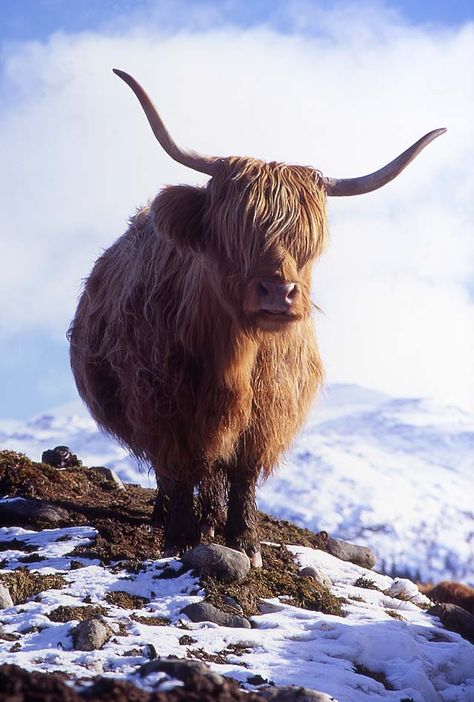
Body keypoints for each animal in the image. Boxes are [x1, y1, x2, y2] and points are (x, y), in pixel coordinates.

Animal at [68, 70, 446, 568]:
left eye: (307, 242)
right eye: (234, 233)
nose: (278, 293)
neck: (236, 356)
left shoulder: (269, 411)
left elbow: (244, 473)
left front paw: (245, 541)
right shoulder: (161, 404)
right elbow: (179, 467)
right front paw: (180, 537)